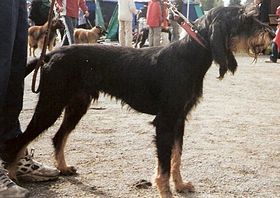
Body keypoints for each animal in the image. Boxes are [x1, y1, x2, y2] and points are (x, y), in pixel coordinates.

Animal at [2, 5, 274, 198]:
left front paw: (180, 184)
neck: (189, 56)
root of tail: (52, 53)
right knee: (19, 141)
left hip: (77, 106)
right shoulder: (165, 122)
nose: (272, 33)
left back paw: (64, 167)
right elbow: (164, 164)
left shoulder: (179, 120)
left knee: (58, 137)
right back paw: (13, 176)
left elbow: (176, 157)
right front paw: (166, 191)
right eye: (245, 19)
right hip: (51, 104)